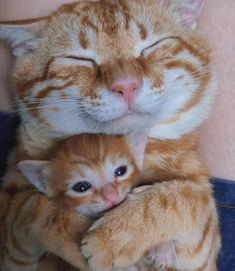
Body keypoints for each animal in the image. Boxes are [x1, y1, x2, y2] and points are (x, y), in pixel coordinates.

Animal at [0, 0, 220, 271]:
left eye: (151, 47)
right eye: (79, 59)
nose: (126, 85)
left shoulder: (203, 246)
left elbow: (188, 197)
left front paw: (117, 236)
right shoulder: (9, 226)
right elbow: (36, 206)